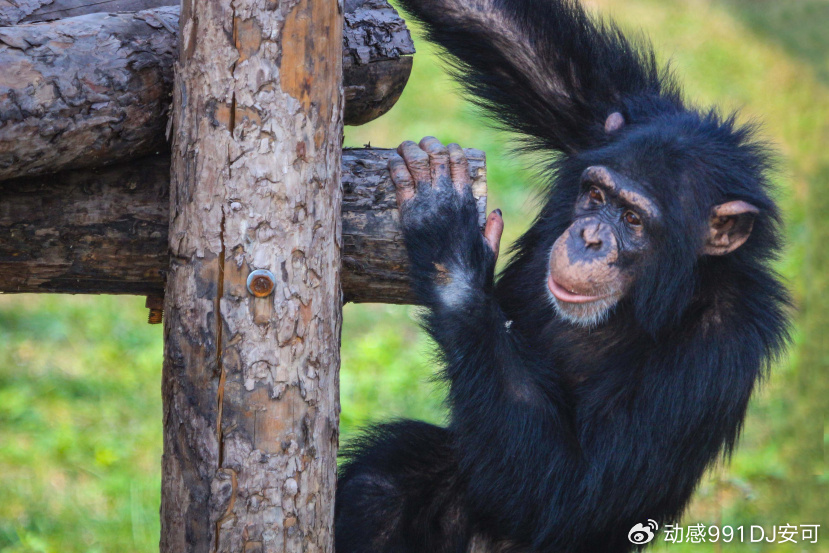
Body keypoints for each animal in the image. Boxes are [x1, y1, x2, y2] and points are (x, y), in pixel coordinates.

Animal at [334, 0, 788, 548]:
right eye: (595, 195)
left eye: (633, 219)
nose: (590, 236)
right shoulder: (601, 118)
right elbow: (503, 30)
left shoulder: (722, 345)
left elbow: (574, 491)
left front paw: (450, 243)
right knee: (382, 487)